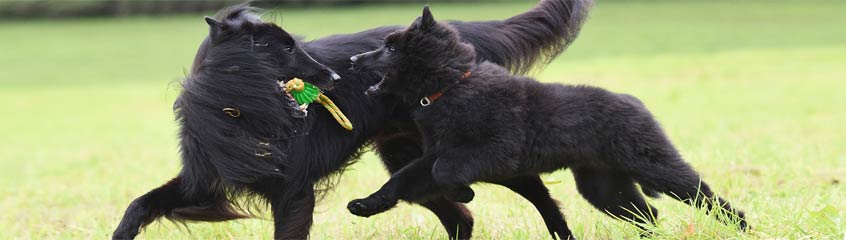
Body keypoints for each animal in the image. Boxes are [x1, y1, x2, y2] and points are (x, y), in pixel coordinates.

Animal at [112, 0, 592, 239]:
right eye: (285, 49)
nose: (337, 76)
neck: (239, 110)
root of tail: (464, 35)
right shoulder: (205, 179)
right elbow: (140, 204)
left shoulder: (294, 193)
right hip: (406, 158)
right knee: (460, 216)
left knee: (528, 187)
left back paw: (561, 231)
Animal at [350, 5, 748, 238]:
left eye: (390, 48)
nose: (353, 60)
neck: (452, 85)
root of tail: (635, 103)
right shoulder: (432, 153)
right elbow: (404, 179)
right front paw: (366, 205)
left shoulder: (496, 150)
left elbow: (445, 171)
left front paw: (463, 192)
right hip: (605, 187)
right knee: (647, 212)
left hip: (653, 164)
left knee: (702, 194)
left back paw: (742, 224)